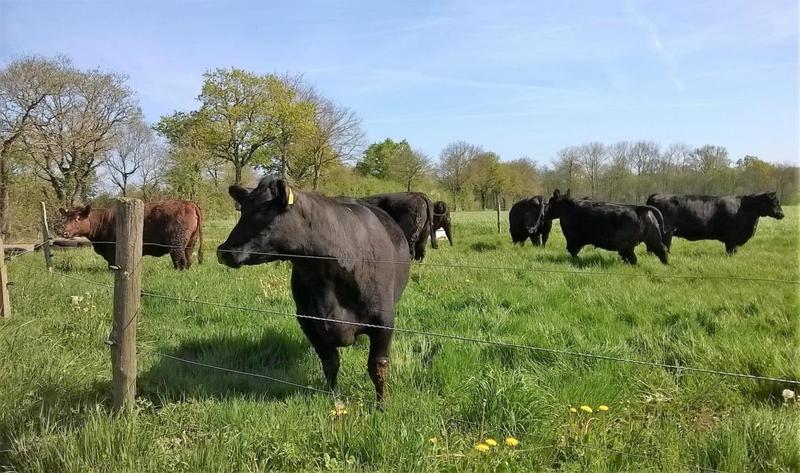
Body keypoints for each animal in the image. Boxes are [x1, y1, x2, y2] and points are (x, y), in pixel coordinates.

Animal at [59, 200, 204, 270]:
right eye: (66, 218)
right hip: (190, 242)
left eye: (78, 218)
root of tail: (188, 203)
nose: (64, 232)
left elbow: (112, 264)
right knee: (188, 258)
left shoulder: (112, 249)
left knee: (179, 259)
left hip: (176, 243)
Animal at [217, 178, 411, 405]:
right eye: (243, 210)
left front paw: (382, 404)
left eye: (264, 212)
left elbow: (377, 367)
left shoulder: (384, 322)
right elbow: (330, 362)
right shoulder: (308, 320)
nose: (224, 250)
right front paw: (333, 397)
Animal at [646, 192, 784, 254]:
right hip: (667, 232)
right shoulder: (732, 238)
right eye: (774, 202)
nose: (782, 214)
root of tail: (657, 195)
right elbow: (731, 250)